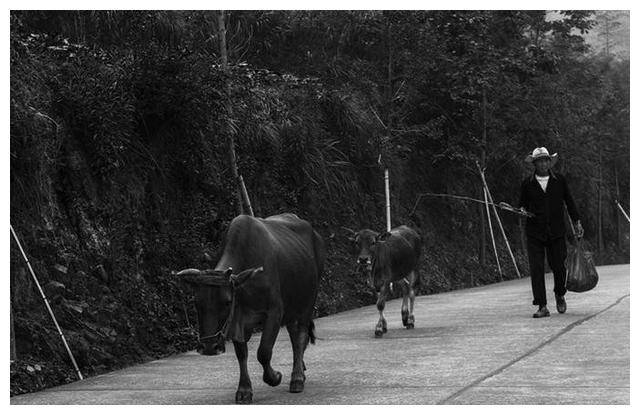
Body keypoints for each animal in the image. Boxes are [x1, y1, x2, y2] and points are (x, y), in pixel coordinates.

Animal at [175, 214, 324, 404]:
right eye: (196, 302)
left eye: (227, 302)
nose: (209, 347)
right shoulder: (238, 319)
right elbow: (241, 353)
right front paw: (244, 390)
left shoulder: (275, 311)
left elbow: (264, 351)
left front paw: (275, 377)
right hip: (292, 308)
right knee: (294, 335)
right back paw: (300, 370)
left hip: (308, 301)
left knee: (301, 335)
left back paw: (297, 378)